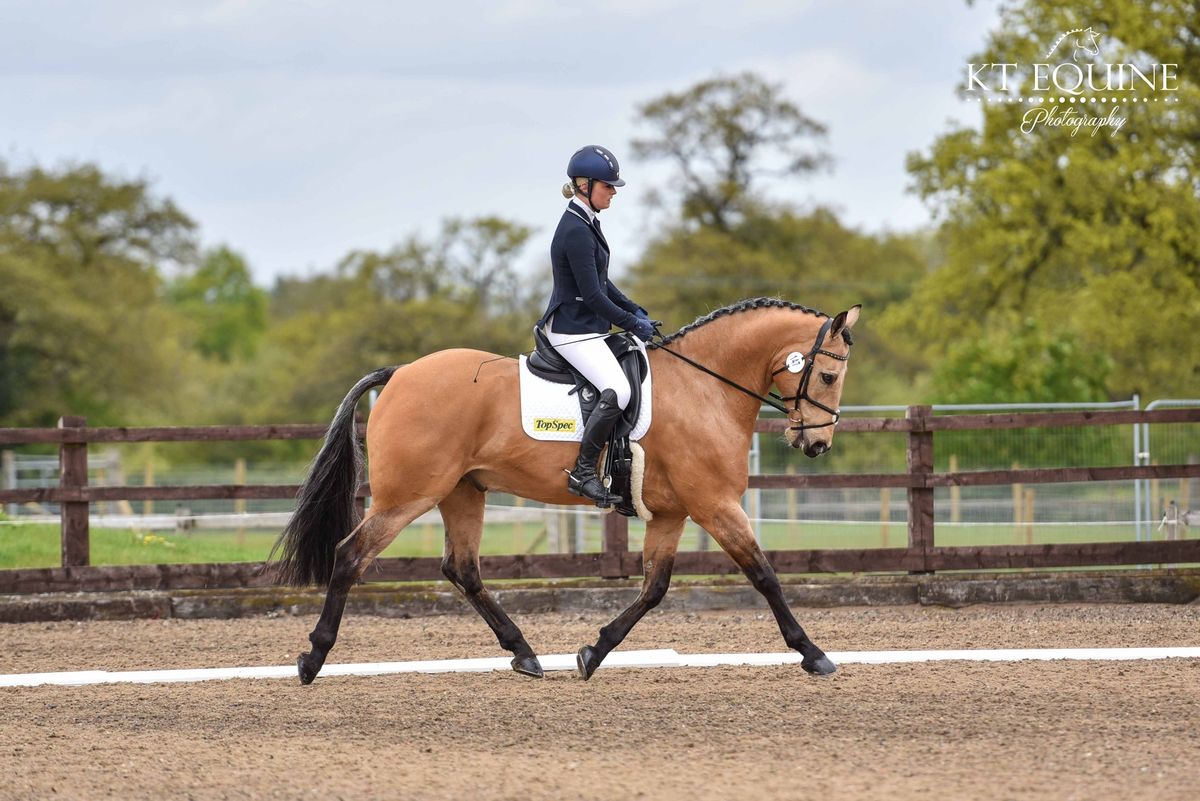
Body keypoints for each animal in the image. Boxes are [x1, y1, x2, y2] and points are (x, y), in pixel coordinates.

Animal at [271, 297, 859, 685]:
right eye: (829, 378)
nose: (816, 444)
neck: (704, 386)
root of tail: (398, 375)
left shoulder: (671, 515)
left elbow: (654, 589)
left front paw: (592, 653)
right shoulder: (715, 506)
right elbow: (764, 575)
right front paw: (813, 654)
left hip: (462, 493)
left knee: (463, 569)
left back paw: (525, 655)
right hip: (407, 497)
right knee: (352, 556)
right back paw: (312, 660)